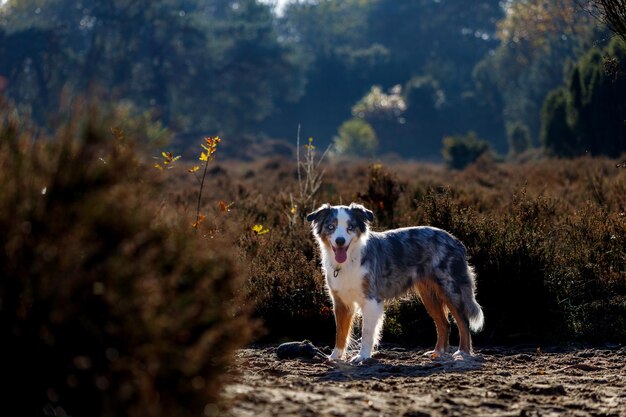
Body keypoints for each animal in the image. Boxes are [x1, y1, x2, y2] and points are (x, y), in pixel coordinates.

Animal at [308, 202, 482, 360]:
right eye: (331, 227)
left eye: (350, 227)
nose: (340, 241)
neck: (350, 260)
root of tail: (455, 240)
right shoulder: (341, 302)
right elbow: (340, 332)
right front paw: (335, 356)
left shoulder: (371, 299)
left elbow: (367, 332)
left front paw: (362, 356)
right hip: (428, 295)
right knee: (444, 324)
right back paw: (437, 352)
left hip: (450, 289)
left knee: (463, 321)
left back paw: (463, 352)